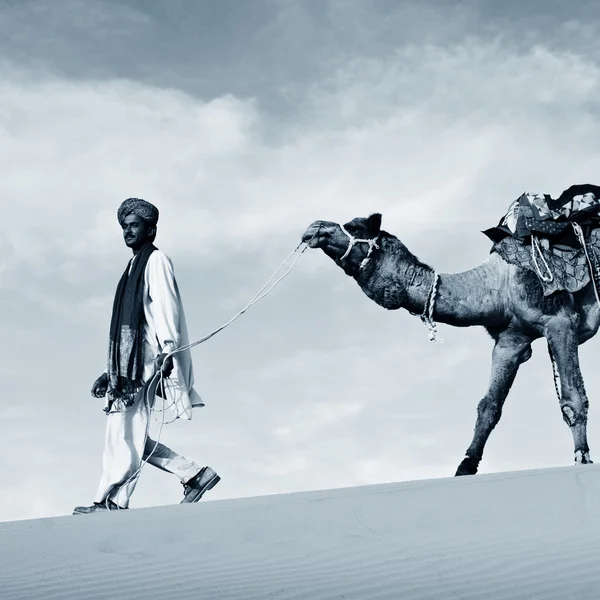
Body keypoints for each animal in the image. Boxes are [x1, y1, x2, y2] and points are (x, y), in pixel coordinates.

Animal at [304, 213, 600, 476]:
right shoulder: (511, 339)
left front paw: (583, 458)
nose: (314, 227)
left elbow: (573, 399)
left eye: (354, 226)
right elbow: (488, 407)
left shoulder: (560, 322)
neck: (498, 284)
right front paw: (465, 467)